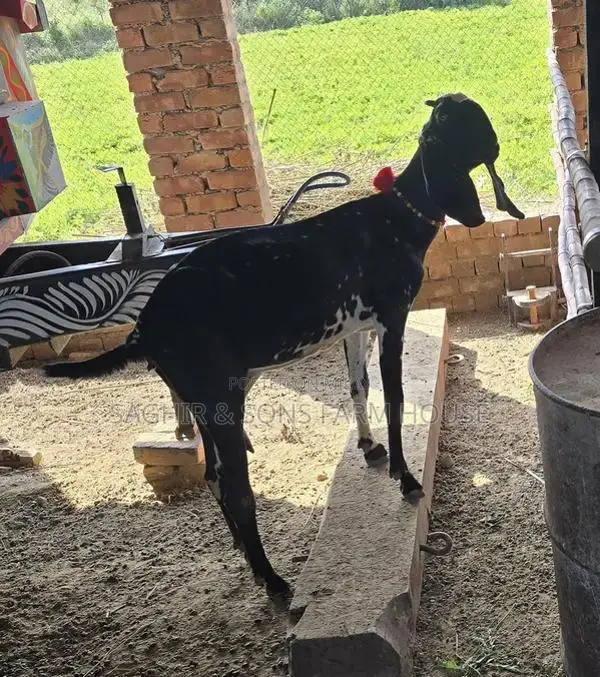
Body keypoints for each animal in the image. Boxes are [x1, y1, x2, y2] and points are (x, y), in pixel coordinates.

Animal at [43, 93, 524, 605]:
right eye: (475, 125)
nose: (498, 143)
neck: (397, 216)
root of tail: (144, 327)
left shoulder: (355, 327)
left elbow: (359, 386)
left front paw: (368, 446)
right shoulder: (392, 318)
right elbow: (394, 399)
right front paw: (405, 476)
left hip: (215, 395)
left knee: (214, 476)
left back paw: (246, 555)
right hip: (219, 398)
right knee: (235, 487)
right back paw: (273, 581)